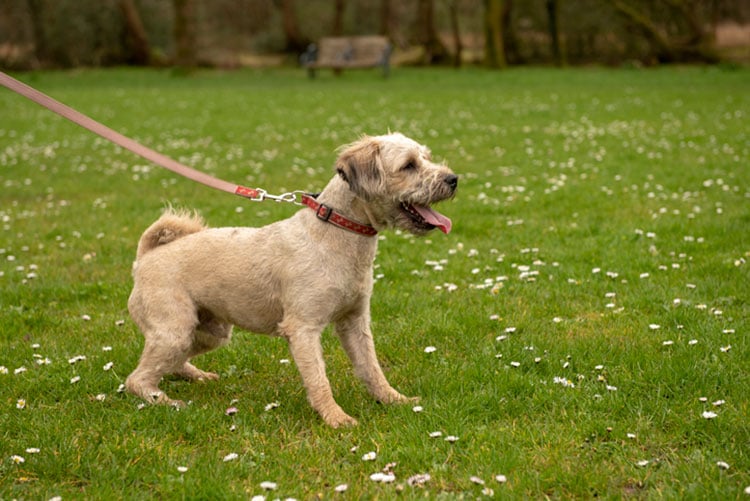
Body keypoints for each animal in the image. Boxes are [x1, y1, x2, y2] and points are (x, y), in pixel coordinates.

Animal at [126, 132, 458, 426]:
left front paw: (393, 400)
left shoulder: (354, 322)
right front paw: (336, 419)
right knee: (136, 380)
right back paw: (167, 401)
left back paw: (196, 376)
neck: (335, 235)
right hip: (175, 331)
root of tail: (146, 257)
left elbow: (371, 369)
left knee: (167, 365)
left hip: (210, 332)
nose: (454, 179)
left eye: (426, 157)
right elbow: (319, 379)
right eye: (409, 165)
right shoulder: (303, 329)